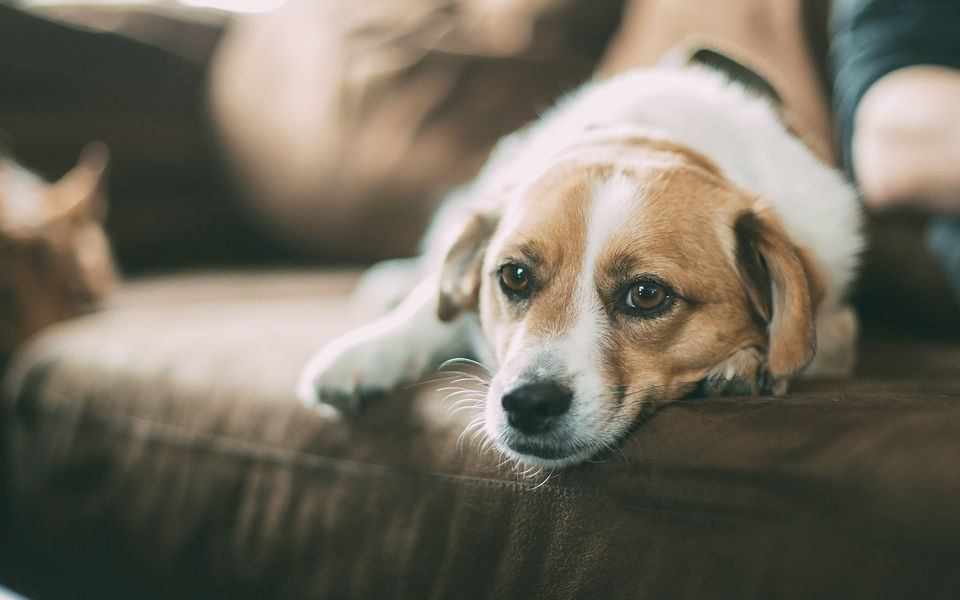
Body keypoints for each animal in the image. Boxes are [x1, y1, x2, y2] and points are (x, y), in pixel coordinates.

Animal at [298, 63, 864, 472]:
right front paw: (367, 352)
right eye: (514, 276)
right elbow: (431, 310)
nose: (527, 403)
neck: (650, 137)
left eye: (647, 294)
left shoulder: (837, 317)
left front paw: (751, 362)